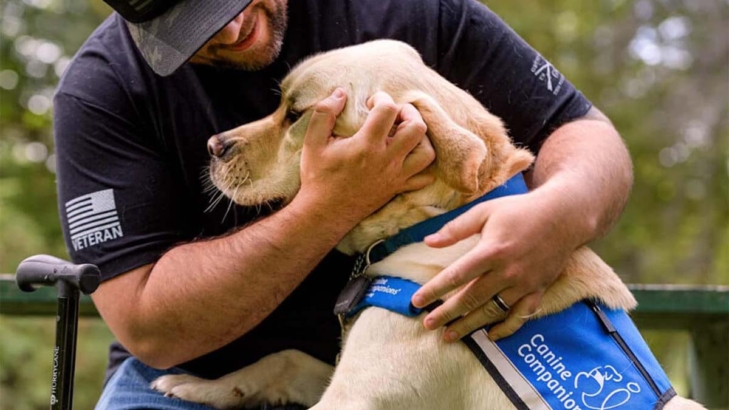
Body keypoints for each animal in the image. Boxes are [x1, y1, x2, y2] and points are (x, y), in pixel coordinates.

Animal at [151, 40, 704, 410]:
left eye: (295, 114)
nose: (213, 147)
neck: (433, 223)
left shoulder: (357, 395)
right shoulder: (349, 370)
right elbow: (284, 357)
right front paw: (200, 384)